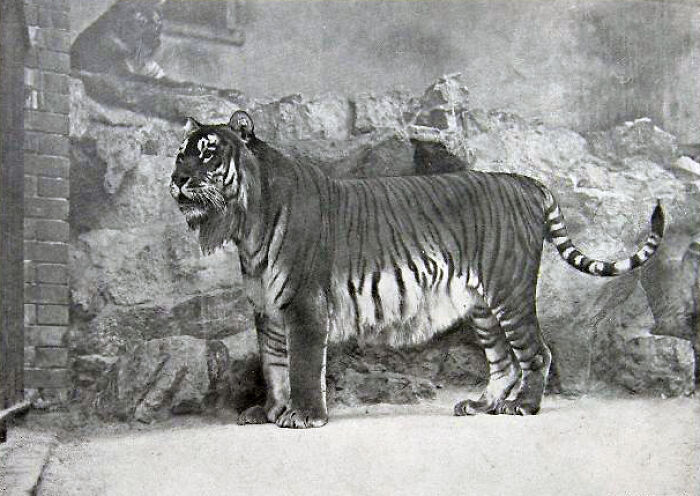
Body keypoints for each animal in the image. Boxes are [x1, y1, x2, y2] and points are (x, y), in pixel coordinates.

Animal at [170, 110, 665, 428]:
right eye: (180, 154)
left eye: (209, 153)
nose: (177, 179)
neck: (246, 223)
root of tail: (525, 181)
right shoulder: (267, 308)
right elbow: (273, 364)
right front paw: (269, 412)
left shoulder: (303, 305)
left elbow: (303, 365)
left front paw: (304, 417)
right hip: (483, 306)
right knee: (503, 361)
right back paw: (480, 405)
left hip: (510, 291)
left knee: (536, 353)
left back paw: (522, 406)